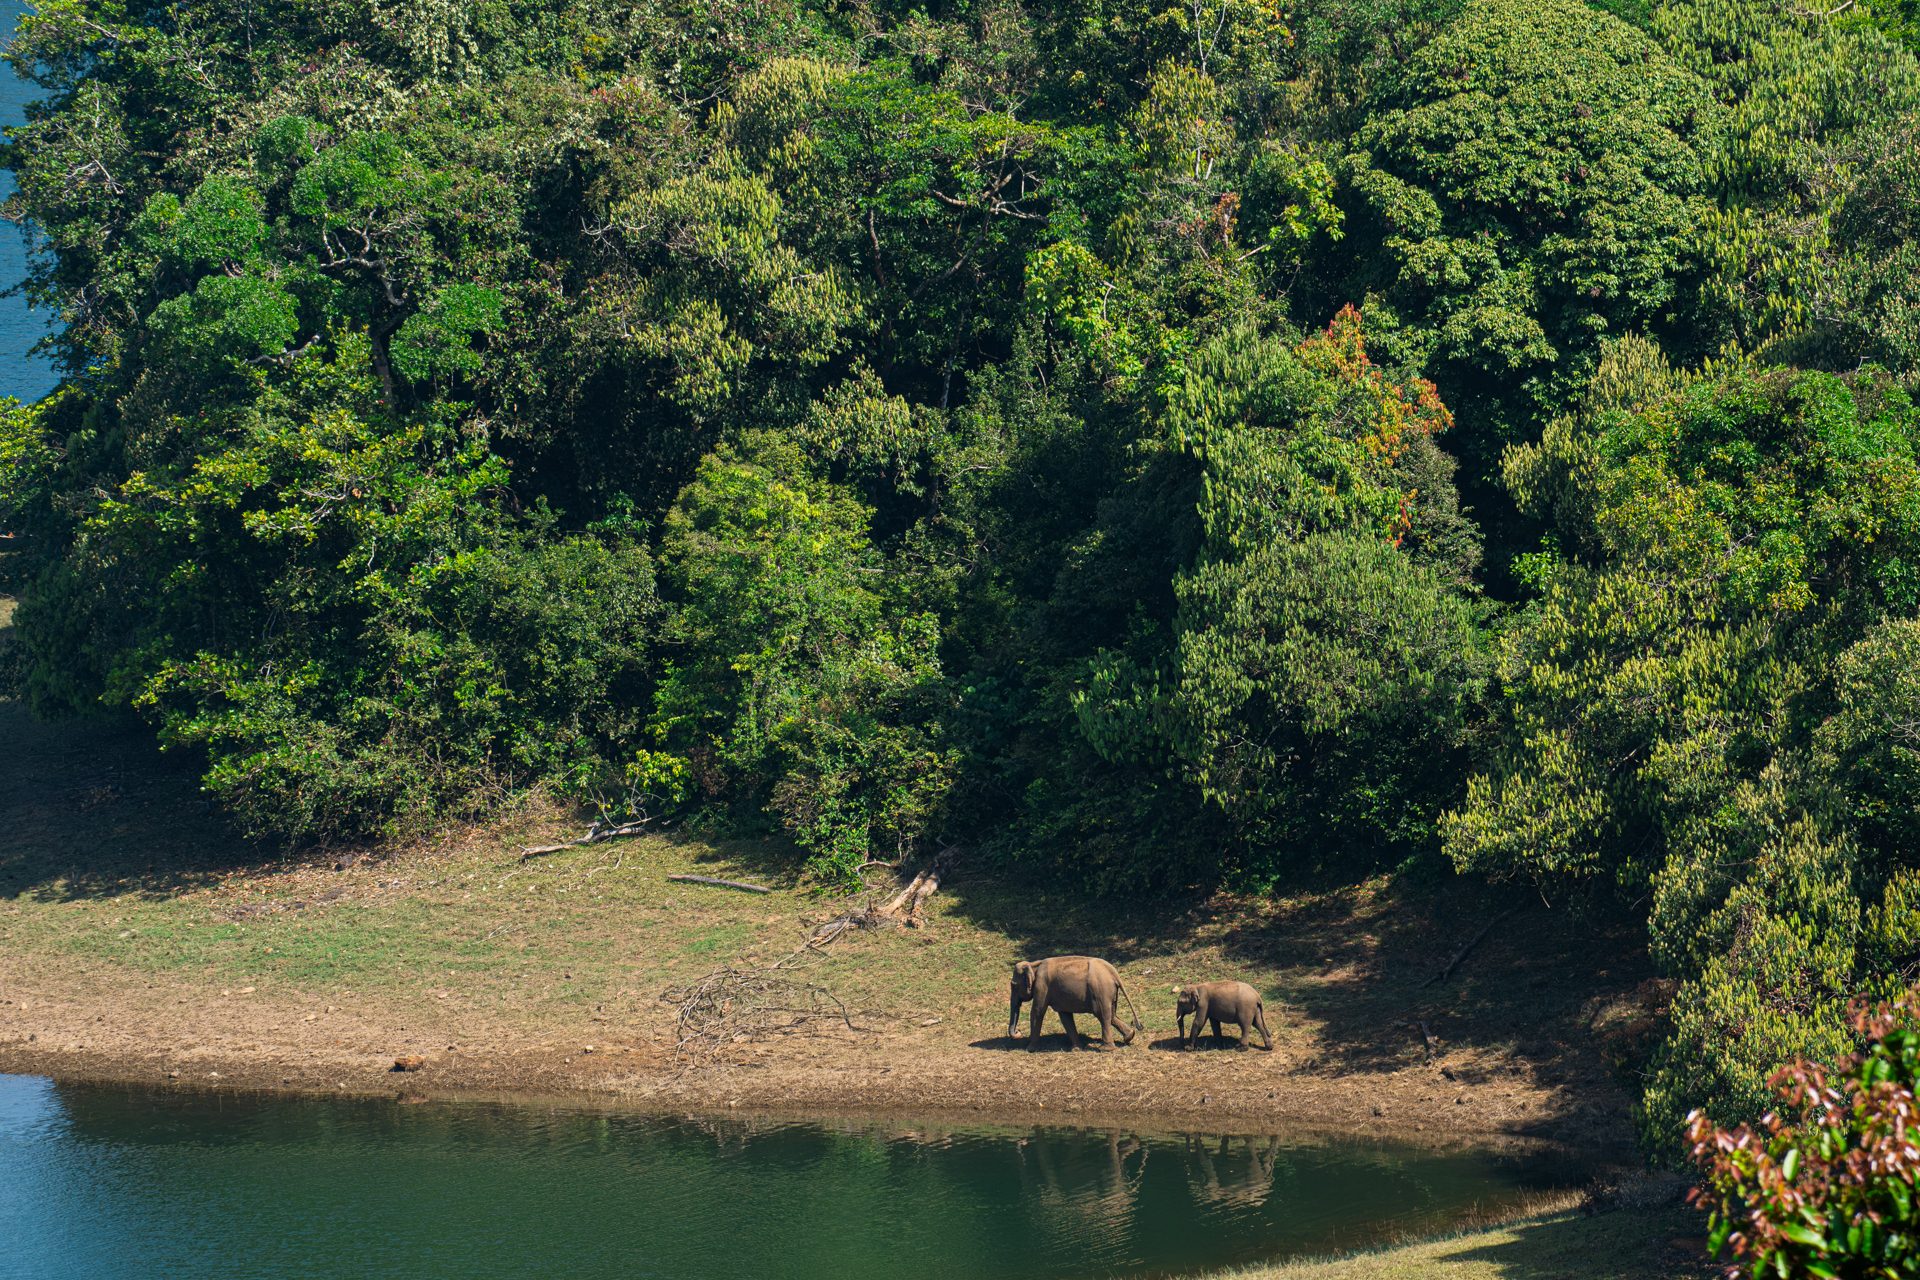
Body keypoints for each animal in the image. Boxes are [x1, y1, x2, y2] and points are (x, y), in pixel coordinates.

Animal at [1007, 956, 1143, 1051]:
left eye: (1013, 985)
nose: (1018, 1032)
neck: (1034, 964)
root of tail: (1113, 972)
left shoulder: (1042, 986)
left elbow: (1037, 1012)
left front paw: (1029, 1049)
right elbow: (1065, 1017)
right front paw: (1076, 1049)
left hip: (1101, 991)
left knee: (1103, 1016)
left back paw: (1106, 1049)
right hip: (1110, 993)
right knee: (1112, 1015)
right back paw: (1129, 1036)